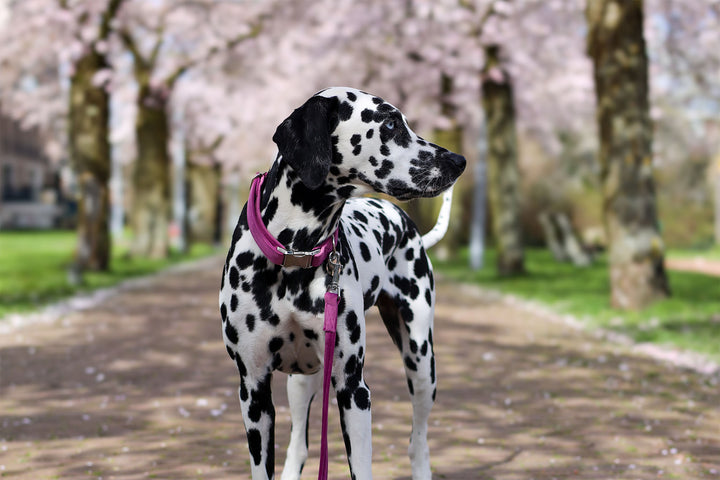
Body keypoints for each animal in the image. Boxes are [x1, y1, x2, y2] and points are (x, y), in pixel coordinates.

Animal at [219, 87, 466, 480]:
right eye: (390, 123)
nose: (459, 161)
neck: (297, 252)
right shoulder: (254, 391)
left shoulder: (353, 390)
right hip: (301, 381)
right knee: (299, 445)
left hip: (421, 361)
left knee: (418, 441)